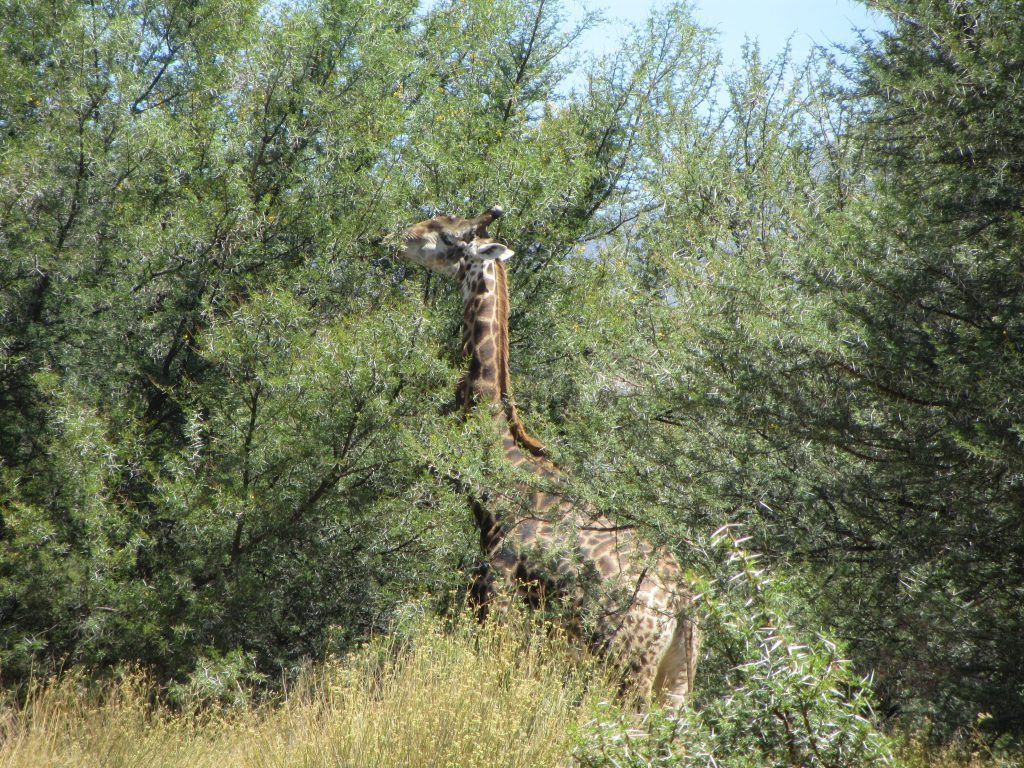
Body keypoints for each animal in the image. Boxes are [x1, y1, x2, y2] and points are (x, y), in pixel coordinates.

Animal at [395, 205, 700, 708]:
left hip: (629, 667)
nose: (401, 237)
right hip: (676, 679)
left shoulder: (495, 588)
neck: (506, 470)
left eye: (450, 235)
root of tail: (682, 605)